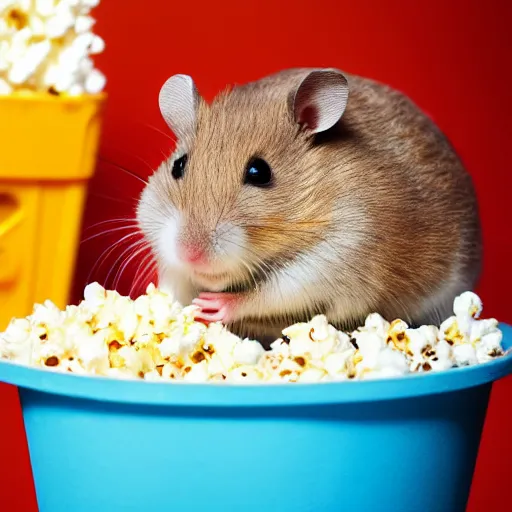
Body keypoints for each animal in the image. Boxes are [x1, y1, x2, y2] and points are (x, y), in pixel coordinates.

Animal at [135, 67, 480, 344]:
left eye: (259, 172)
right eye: (178, 166)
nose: (190, 253)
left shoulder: (340, 254)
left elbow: (272, 292)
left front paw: (211, 306)